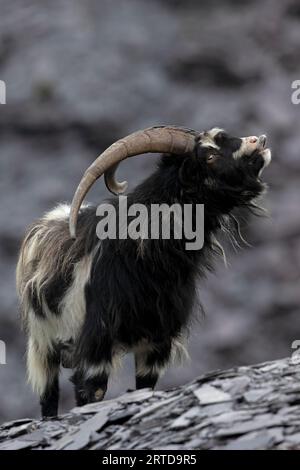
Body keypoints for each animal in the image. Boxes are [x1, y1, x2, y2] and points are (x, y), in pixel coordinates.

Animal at [15, 126, 272, 416]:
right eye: (208, 156)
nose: (258, 141)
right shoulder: (96, 342)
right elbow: (92, 391)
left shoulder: (158, 342)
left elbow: (146, 387)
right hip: (43, 343)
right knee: (48, 395)